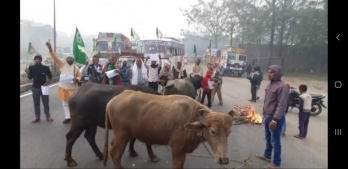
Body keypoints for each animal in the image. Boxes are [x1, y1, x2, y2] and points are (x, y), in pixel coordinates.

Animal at [102, 91, 234, 169]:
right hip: (122, 135)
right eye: (213, 131)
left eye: (229, 133)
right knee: (115, 153)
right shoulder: (177, 149)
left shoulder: (183, 151)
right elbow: (176, 166)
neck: (191, 116)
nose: (224, 160)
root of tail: (111, 101)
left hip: (122, 134)